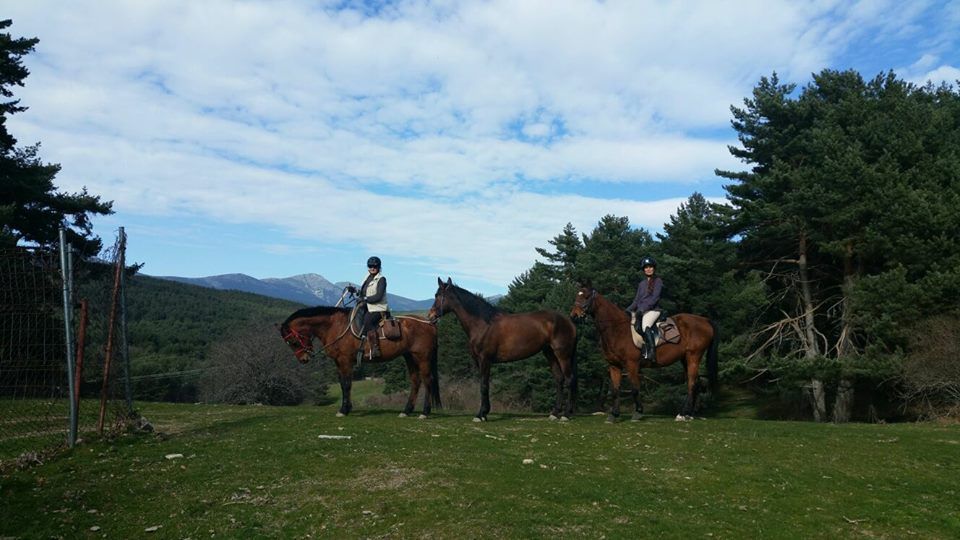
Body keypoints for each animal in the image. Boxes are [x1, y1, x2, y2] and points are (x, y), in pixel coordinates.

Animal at [279, 305, 441, 418]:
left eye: (293, 342)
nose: (303, 359)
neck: (335, 326)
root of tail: (430, 324)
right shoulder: (339, 362)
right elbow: (343, 384)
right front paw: (347, 407)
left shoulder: (345, 361)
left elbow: (346, 384)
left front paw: (344, 410)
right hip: (410, 357)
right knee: (415, 381)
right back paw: (406, 411)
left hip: (422, 357)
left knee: (428, 381)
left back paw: (425, 412)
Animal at [428, 277, 577, 422]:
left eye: (439, 295)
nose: (431, 316)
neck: (483, 324)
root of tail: (568, 321)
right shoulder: (480, 362)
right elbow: (485, 384)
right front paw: (485, 412)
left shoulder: (485, 360)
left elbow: (483, 385)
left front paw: (480, 415)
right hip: (550, 353)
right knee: (559, 379)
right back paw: (554, 413)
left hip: (562, 354)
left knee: (569, 379)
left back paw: (566, 415)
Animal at [570, 284, 718, 422]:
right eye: (577, 296)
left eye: (586, 297)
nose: (573, 316)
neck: (617, 329)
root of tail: (704, 320)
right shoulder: (614, 366)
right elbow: (615, 390)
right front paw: (614, 415)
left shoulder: (632, 365)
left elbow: (635, 388)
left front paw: (638, 413)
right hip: (685, 359)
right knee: (694, 383)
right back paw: (688, 414)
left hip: (694, 356)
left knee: (692, 383)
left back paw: (682, 414)